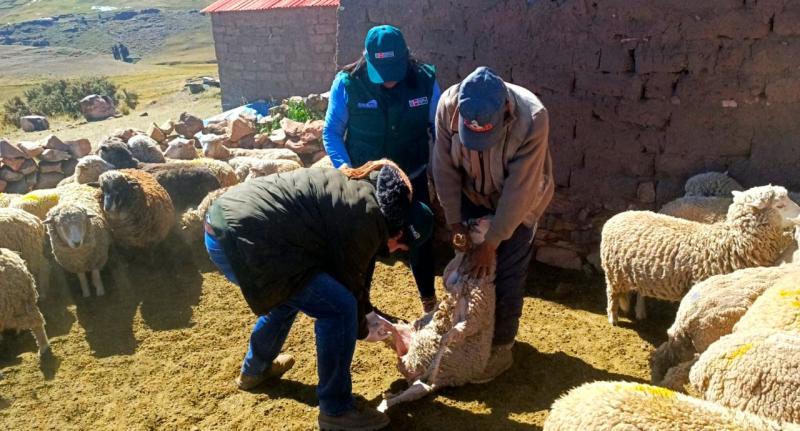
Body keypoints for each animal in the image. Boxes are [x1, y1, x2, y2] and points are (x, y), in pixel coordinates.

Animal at [376, 219, 494, 412]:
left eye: (490, 219)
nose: (472, 222)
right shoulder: (451, 280)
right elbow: (451, 270)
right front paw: (461, 242)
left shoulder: (474, 315)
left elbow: (448, 337)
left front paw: (434, 365)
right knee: (391, 332)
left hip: (424, 385)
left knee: (409, 392)